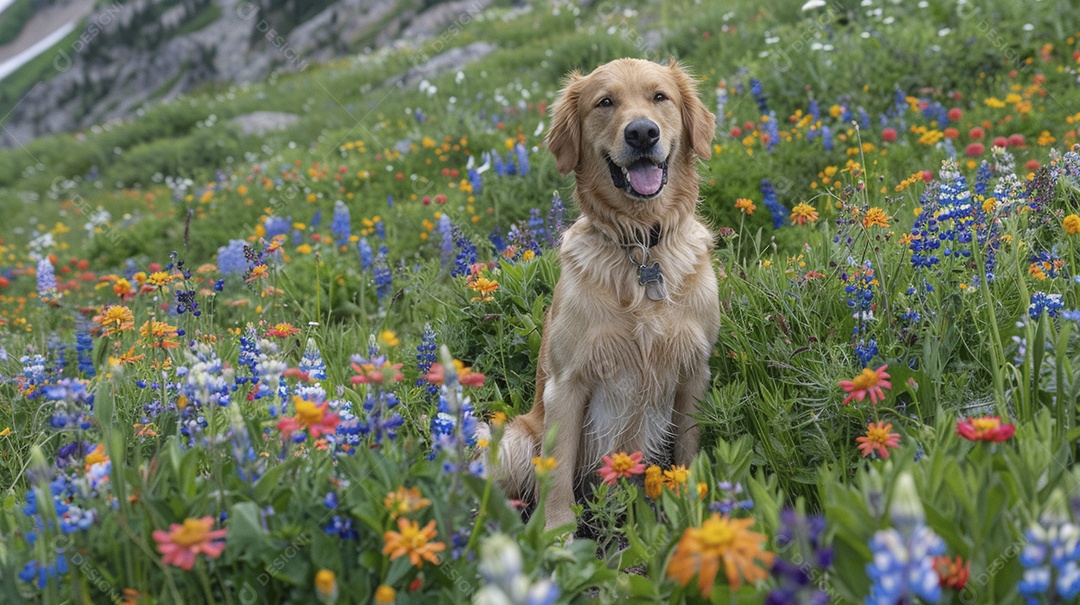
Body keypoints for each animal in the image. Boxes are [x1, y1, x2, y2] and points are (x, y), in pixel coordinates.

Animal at [494, 57, 721, 529]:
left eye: (659, 97)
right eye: (605, 102)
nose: (642, 133)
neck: (641, 245)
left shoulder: (694, 371)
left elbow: (688, 448)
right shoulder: (567, 383)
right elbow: (558, 471)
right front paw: (556, 534)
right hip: (513, 441)